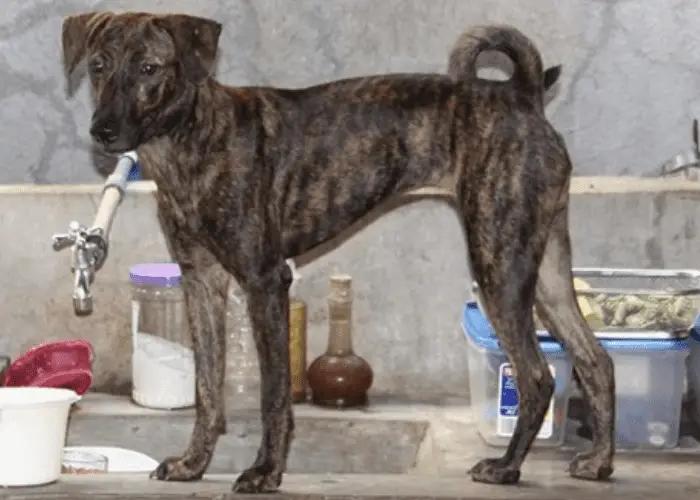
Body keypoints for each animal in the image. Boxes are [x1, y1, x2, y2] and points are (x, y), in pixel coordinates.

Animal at [63, 10, 616, 492]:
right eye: (99, 65)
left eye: (150, 69)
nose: (102, 131)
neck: (191, 138)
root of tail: (521, 96)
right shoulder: (200, 282)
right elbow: (207, 390)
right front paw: (193, 463)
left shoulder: (265, 280)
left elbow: (272, 393)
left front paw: (265, 472)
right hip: (544, 267)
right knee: (596, 358)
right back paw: (600, 462)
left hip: (499, 262)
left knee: (537, 376)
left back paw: (507, 468)